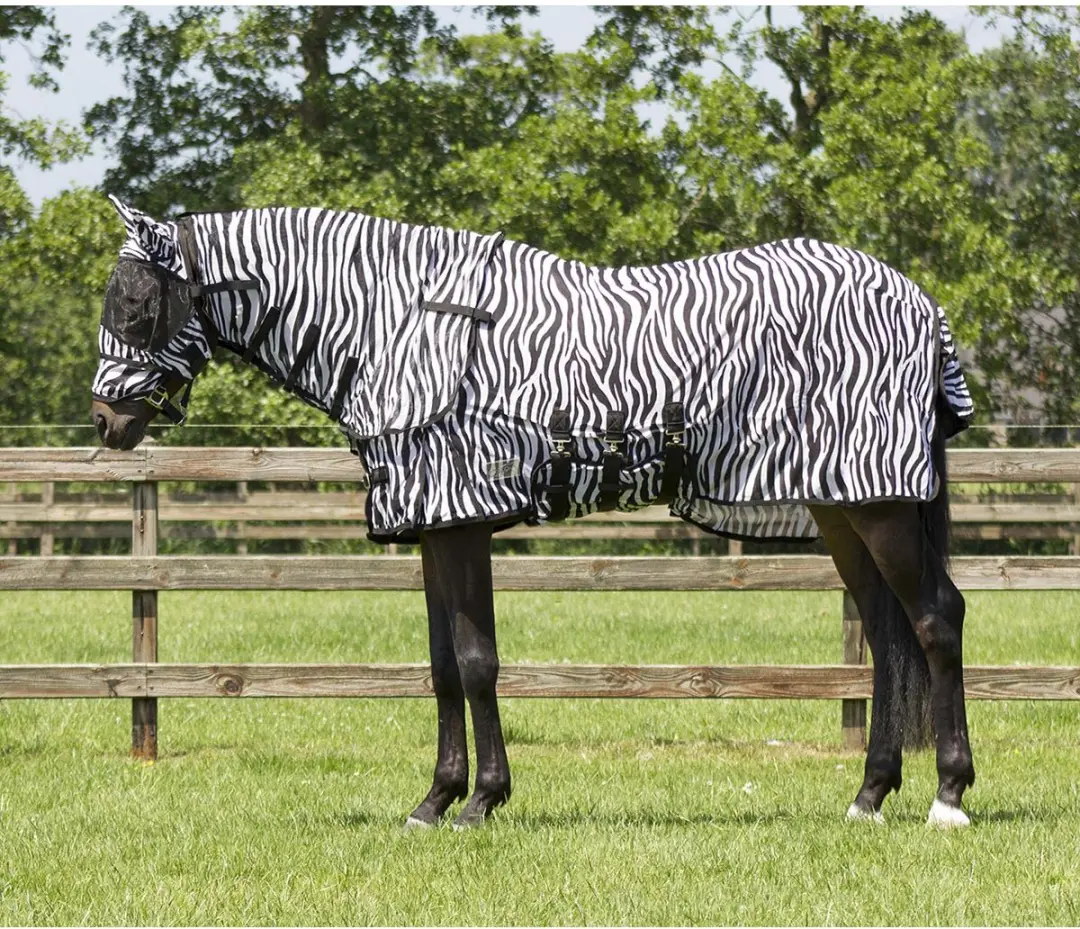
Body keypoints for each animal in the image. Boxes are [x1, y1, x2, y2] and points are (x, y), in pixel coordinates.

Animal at [93, 196, 976, 829]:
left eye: (135, 303)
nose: (105, 422)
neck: (399, 324)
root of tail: (921, 304)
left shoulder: (460, 524)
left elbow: (476, 660)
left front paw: (481, 799)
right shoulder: (434, 527)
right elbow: (442, 664)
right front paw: (436, 799)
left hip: (881, 509)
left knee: (936, 618)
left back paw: (949, 796)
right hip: (841, 507)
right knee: (889, 637)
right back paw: (869, 795)